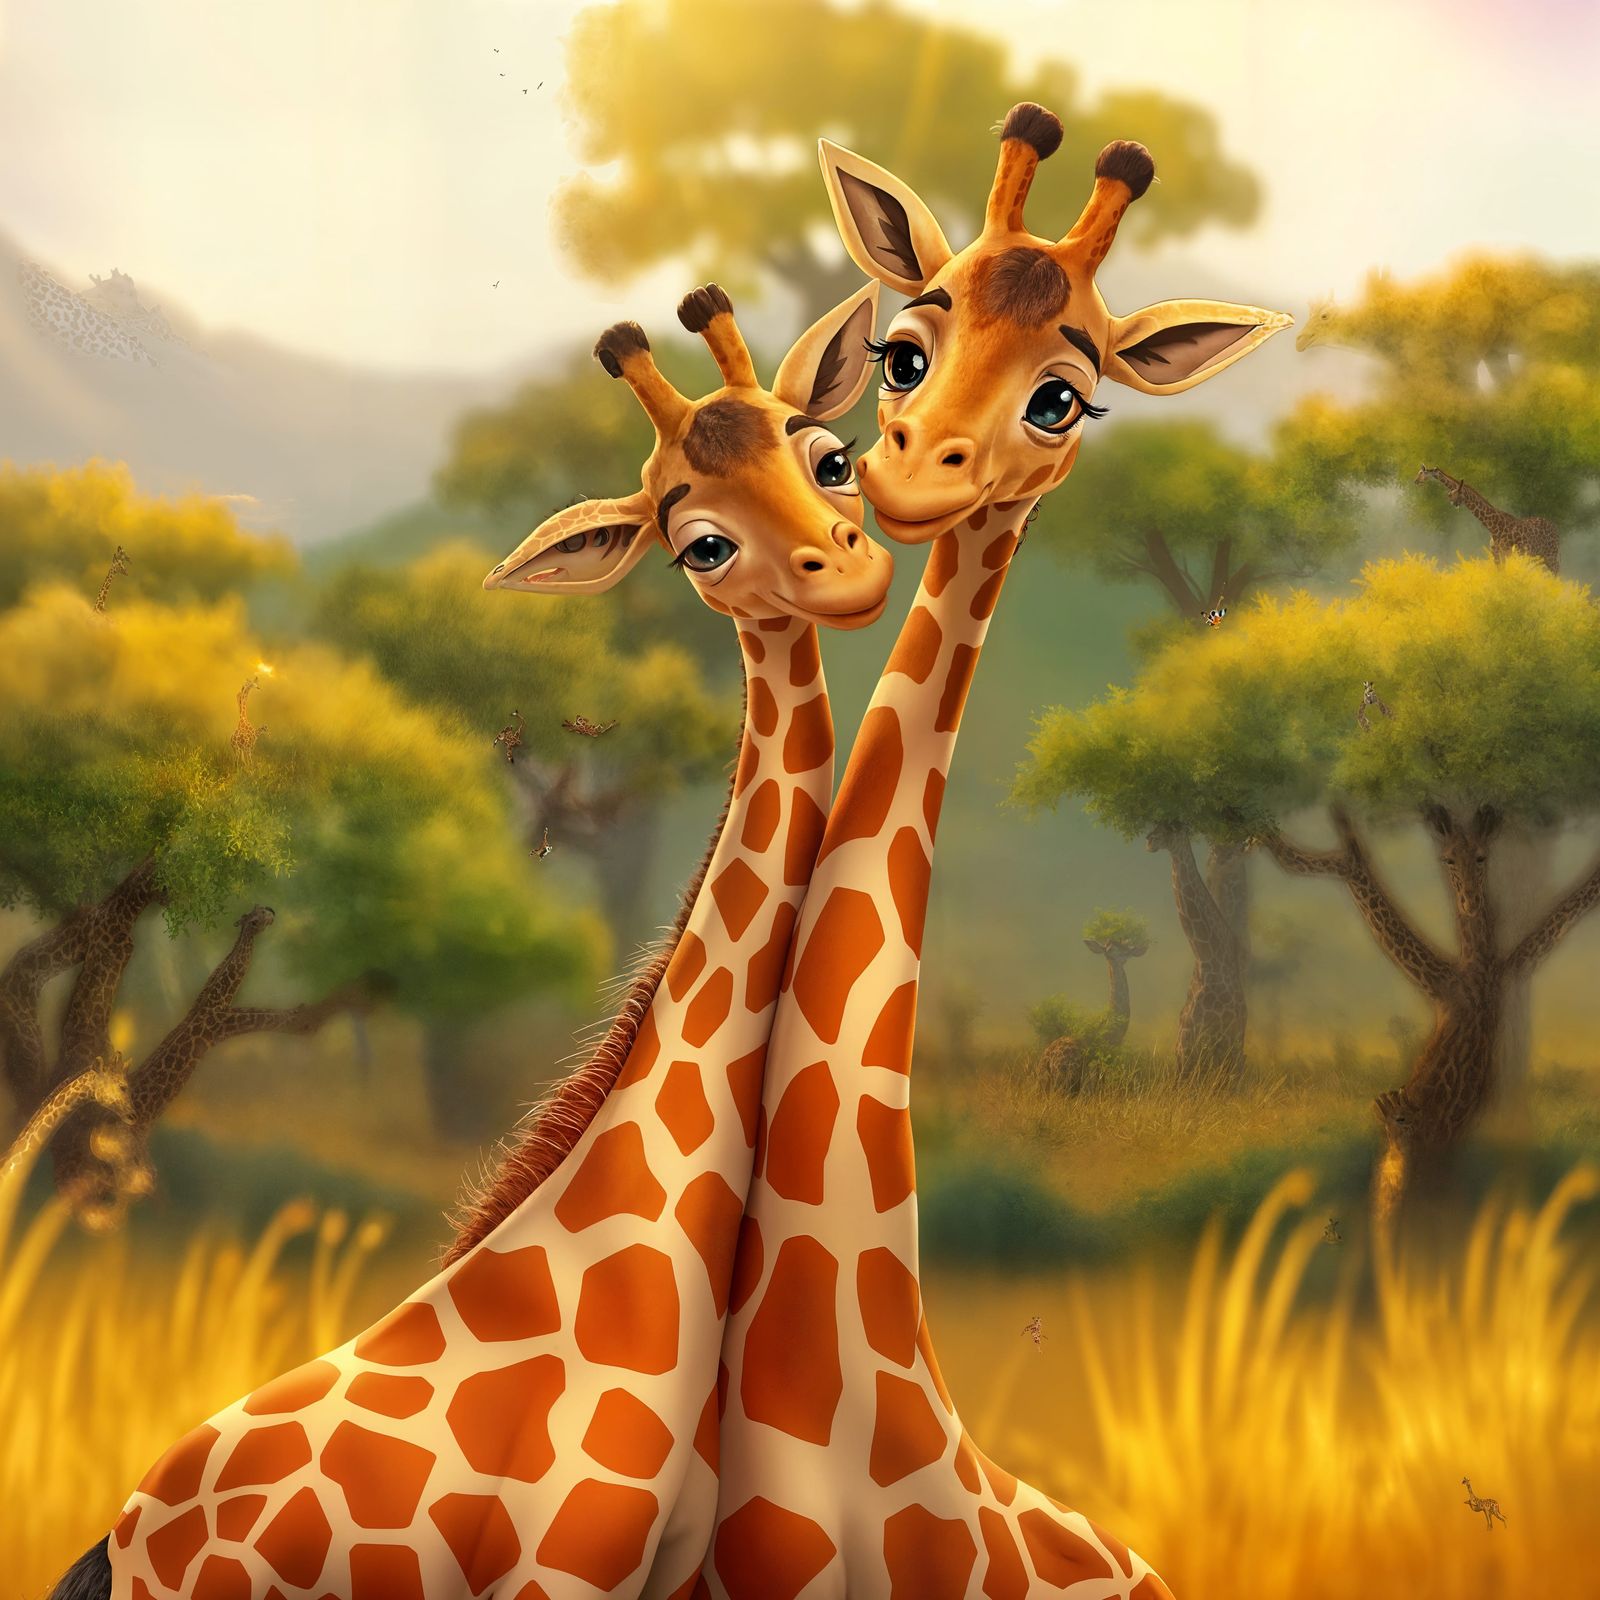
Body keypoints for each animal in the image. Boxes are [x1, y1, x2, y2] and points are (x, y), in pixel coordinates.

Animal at [1414, 465, 1560, 573]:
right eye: (1450, 493)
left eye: (1422, 473)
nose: (1416, 481)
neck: (1493, 527)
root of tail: (1555, 528)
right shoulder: (1496, 554)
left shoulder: (1507, 553)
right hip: (1537, 556)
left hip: (1550, 554)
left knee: (1556, 572)